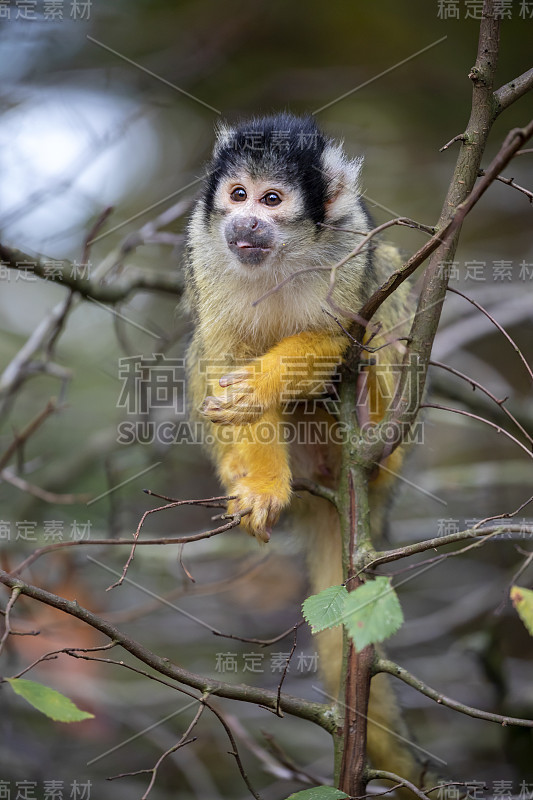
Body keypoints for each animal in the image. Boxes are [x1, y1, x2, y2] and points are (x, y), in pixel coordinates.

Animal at [186, 115, 424, 784]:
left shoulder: (352, 246)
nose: (245, 223)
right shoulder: (204, 249)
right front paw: (263, 487)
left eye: (272, 200)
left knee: (387, 309)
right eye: (238, 195)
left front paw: (265, 380)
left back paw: (369, 429)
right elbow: (223, 363)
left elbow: (342, 334)